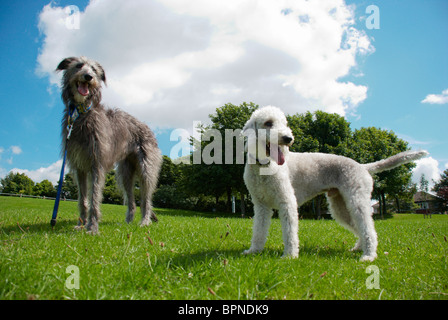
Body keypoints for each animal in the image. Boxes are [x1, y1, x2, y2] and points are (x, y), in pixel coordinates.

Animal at [55, 56, 161, 234]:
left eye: (94, 70)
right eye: (79, 65)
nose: (88, 77)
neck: (82, 113)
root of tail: (148, 128)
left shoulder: (96, 163)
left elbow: (94, 197)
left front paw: (92, 228)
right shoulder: (79, 166)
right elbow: (83, 199)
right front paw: (81, 224)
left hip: (146, 167)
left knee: (146, 199)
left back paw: (145, 221)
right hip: (125, 172)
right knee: (132, 201)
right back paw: (127, 223)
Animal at [243, 105, 428, 260]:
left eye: (285, 123)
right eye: (268, 123)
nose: (288, 138)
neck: (264, 166)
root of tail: (362, 166)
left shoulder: (287, 202)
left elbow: (290, 232)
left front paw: (289, 256)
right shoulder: (261, 205)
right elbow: (258, 229)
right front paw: (254, 251)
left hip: (356, 200)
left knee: (368, 228)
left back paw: (368, 256)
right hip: (340, 206)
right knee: (358, 227)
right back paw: (358, 248)